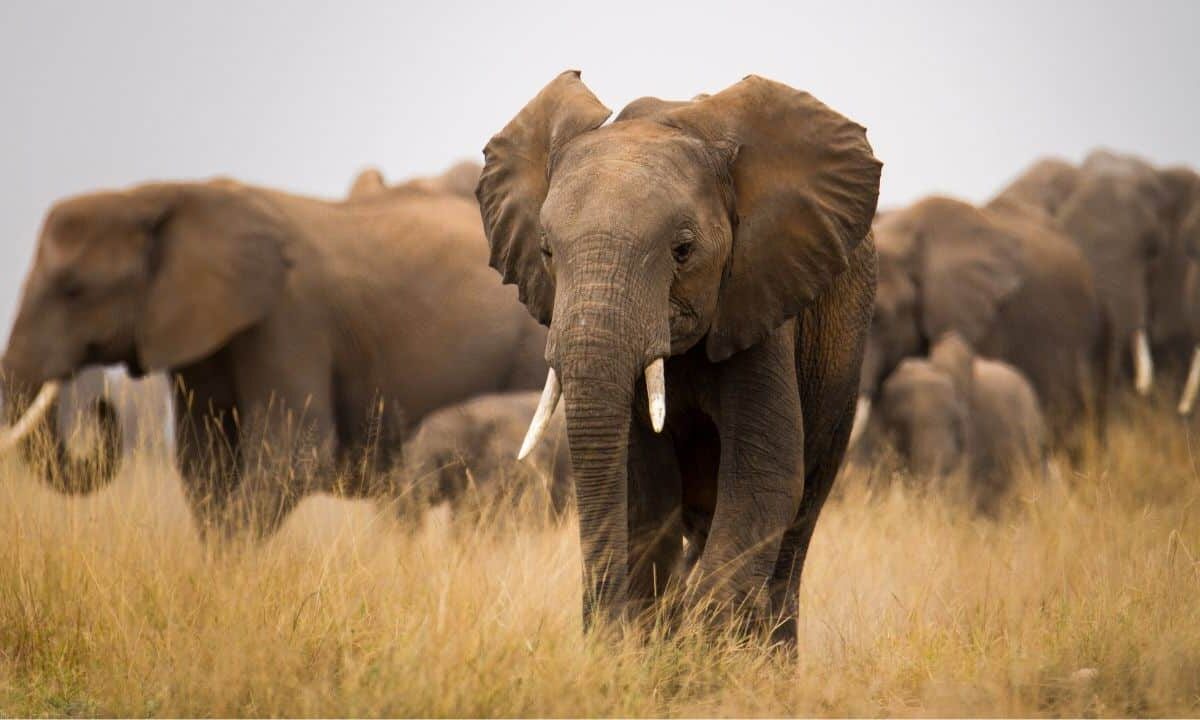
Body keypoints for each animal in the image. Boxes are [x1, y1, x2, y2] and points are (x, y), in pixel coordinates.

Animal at [0, 175, 548, 538]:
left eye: (74, 289)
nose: (101, 407)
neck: (166, 195)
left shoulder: (291, 318)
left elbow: (294, 455)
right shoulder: (204, 335)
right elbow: (204, 465)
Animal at [476, 71, 881, 643]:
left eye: (683, 250)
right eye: (547, 252)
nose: (595, 627)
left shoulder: (761, 299)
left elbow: (764, 478)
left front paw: (701, 652)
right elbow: (644, 492)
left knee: (796, 527)